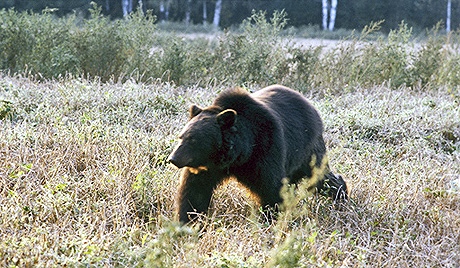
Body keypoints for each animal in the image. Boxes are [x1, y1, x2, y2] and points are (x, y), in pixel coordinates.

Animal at [167, 85, 346, 223]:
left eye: (193, 139)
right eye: (181, 136)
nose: (173, 159)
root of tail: (311, 107)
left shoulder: (265, 150)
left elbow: (271, 188)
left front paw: (270, 218)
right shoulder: (207, 168)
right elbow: (194, 191)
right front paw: (188, 219)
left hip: (306, 149)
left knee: (319, 176)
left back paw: (341, 194)